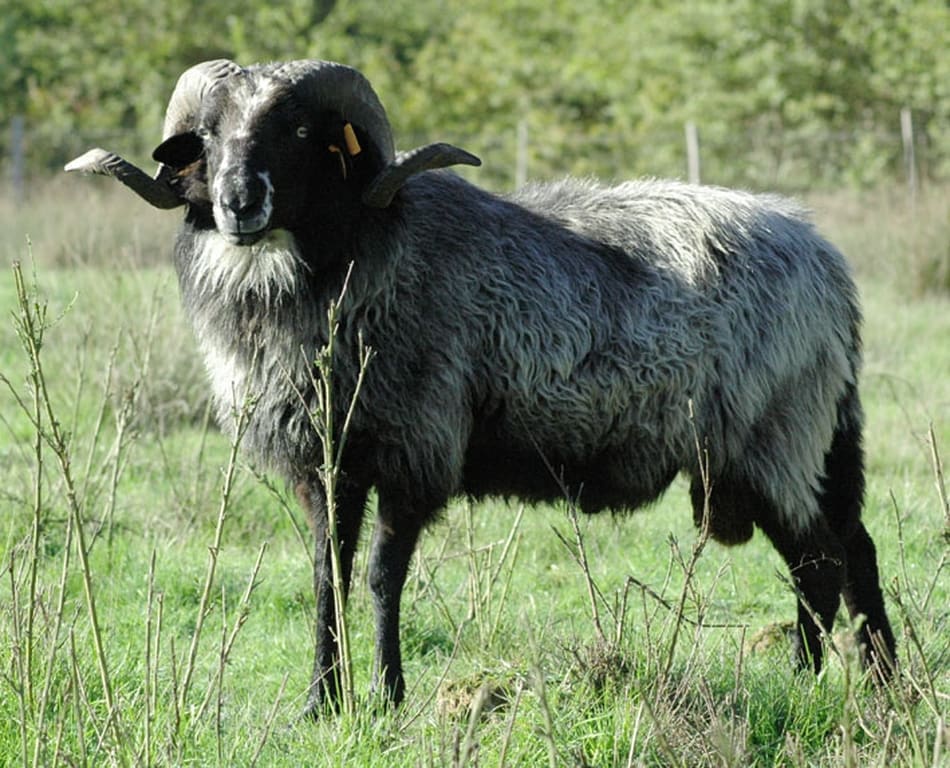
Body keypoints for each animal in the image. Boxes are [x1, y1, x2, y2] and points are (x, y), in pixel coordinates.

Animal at [66, 58, 896, 714]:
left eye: (300, 133)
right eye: (207, 136)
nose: (240, 204)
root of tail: (826, 258)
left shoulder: (415, 449)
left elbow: (382, 576)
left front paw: (388, 696)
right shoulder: (326, 463)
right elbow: (327, 576)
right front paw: (321, 702)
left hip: (776, 440)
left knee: (823, 561)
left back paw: (810, 680)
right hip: (802, 441)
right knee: (850, 549)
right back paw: (879, 681)